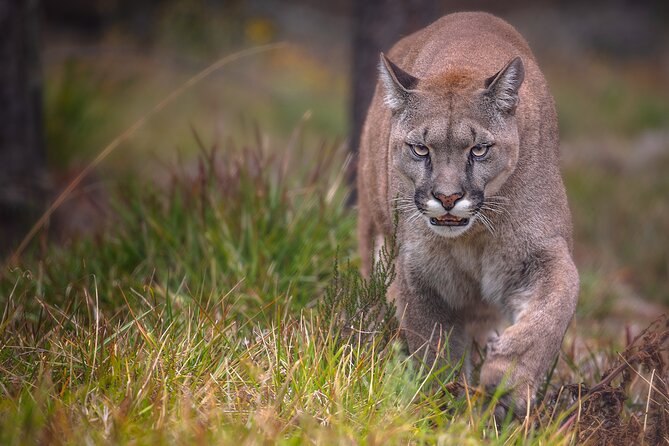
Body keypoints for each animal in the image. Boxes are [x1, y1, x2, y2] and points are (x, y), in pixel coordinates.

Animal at [354, 12, 580, 416]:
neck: (472, 237)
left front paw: (506, 381)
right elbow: (435, 348)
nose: (447, 197)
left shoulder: (541, 252)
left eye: (478, 149)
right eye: (420, 148)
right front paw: (442, 407)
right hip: (372, 232)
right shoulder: (419, 273)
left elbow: (553, 311)